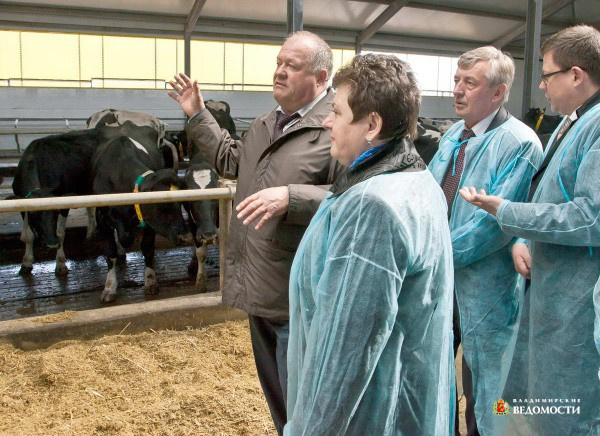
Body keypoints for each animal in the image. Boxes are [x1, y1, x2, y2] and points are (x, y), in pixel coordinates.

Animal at [91, 136, 192, 304]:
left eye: (181, 204)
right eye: (162, 204)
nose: (186, 237)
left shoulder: (148, 223)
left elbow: (147, 248)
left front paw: (150, 280)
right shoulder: (101, 218)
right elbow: (110, 253)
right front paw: (109, 287)